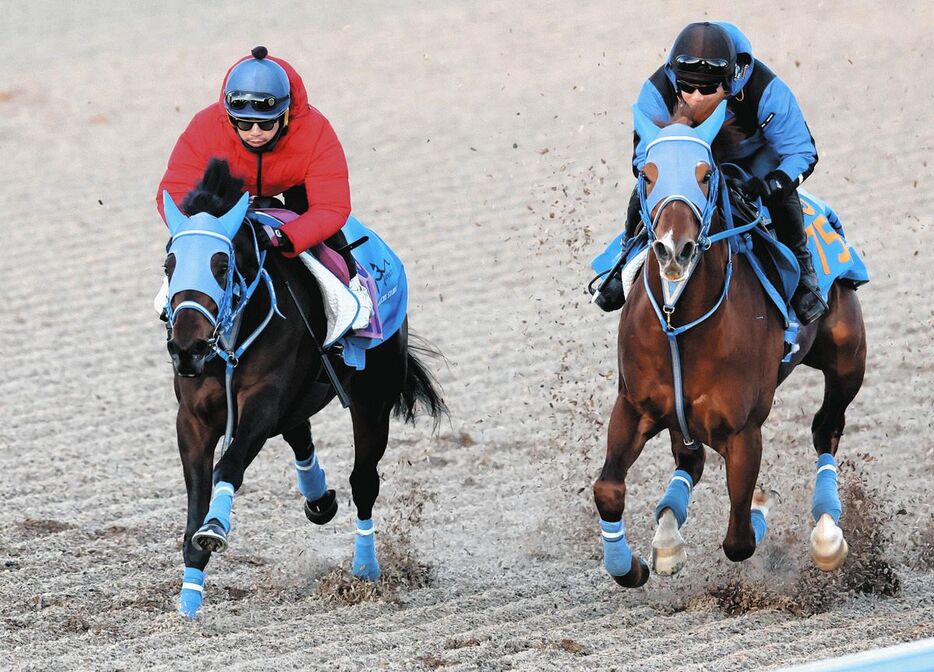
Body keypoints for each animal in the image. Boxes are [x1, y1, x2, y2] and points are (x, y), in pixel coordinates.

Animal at [160, 160, 446, 616]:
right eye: (169, 265)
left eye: (221, 265)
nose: (187, 348)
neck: (230, 343)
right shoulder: (193, 419)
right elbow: (194, 509)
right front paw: (188, 601)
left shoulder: (262, 399)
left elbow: (230, 466)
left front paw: (216, 526)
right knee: (300, 434)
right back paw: (318, 497)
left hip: (372, 397)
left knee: (363, 481)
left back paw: (364, 569)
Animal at [596, 103, 868, 588]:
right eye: (647, 174)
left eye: (706, 175)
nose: (674, 250)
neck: (679, 322)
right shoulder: (634, 406)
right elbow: (607, 489)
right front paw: (631, 565)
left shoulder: (743, 431)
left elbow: (739, 537)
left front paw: (761, 502)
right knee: (690, 459)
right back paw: (668, 539)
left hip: (848, 361)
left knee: (826, 430)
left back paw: (827, 538)